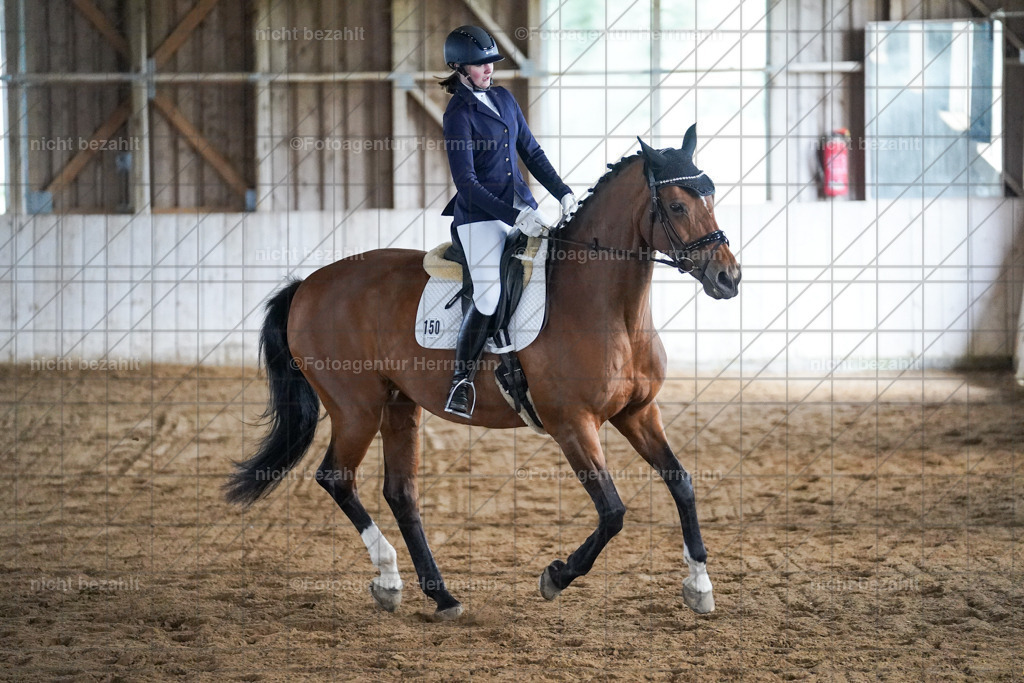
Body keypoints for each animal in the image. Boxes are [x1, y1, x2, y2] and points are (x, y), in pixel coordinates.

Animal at [225, 126, 741, 621]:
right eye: (676, 205)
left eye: (712, 197)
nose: (728, 278)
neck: (608, 308)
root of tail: (307, 284)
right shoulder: (573, 424)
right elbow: (613, 512)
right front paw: (555, 576)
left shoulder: (638, 412)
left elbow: (682, 482)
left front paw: (700, 586)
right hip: (357, 408)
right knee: (337, 478)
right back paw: (389, 578)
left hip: (398, 404)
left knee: (400, 493)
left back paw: (441, 596)